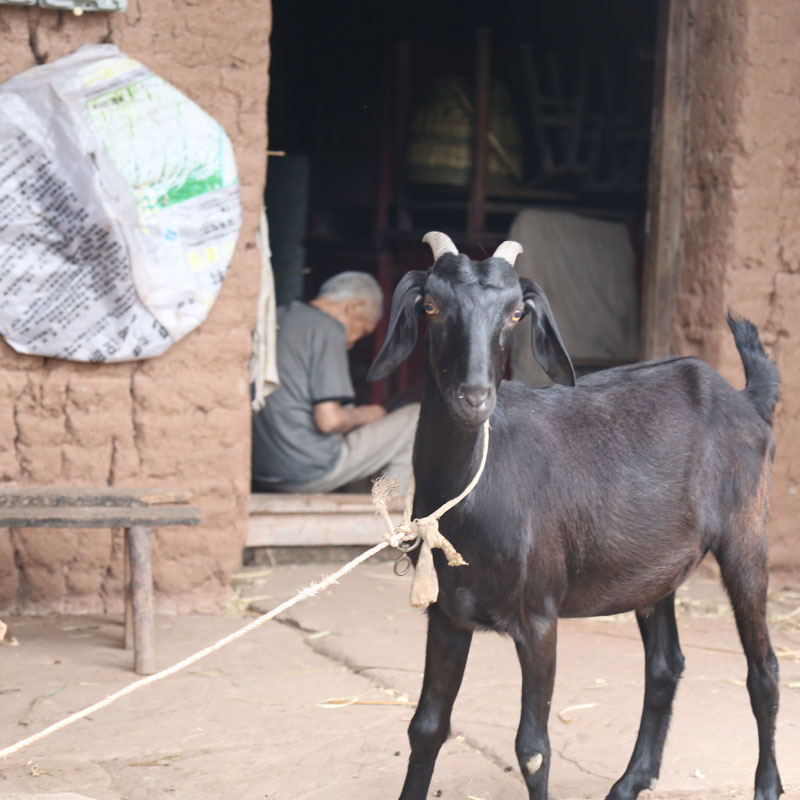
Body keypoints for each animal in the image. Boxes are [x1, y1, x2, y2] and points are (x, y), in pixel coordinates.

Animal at [368, 233, 780, 800]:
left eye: (515, 313)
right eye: (430, 306)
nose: (474, 397)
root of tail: (746, 399)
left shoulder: (540, 617)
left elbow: (533, 748)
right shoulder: (447, 615)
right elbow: (426, 727)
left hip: (746, 534)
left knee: (764, 668)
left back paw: (766, 785)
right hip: (655, 570)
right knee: (665, 666)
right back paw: (630, 781)